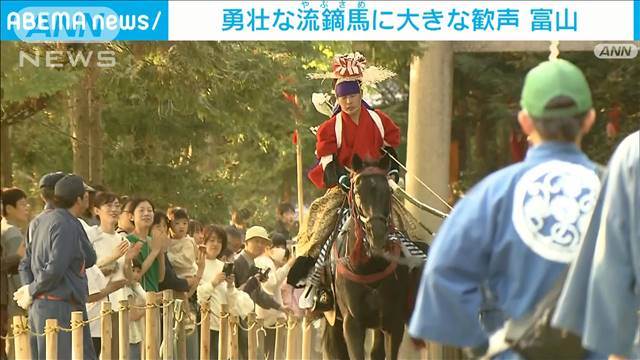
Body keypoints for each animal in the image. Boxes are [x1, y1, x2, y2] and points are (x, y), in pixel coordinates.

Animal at [324, 155, 416, 360]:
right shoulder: (351, 323)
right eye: (357, 191)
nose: (378, 235)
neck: (369, 266)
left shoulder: (393, 323)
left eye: (388, 190)